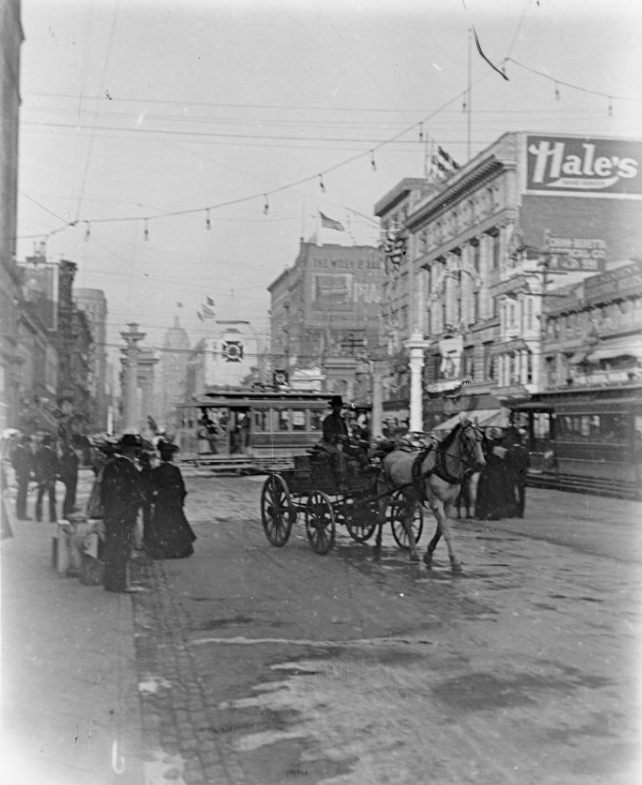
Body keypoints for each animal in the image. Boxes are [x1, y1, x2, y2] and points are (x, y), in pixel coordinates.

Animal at [372, 420, 482, 572]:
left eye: (481, 438)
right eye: (467, 438)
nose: (481, 463)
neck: (442, 466)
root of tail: (390, 453)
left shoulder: (449, 503)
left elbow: (440, 530)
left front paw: (429, 554)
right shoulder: (436, 502)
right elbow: (446, 531)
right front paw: (455, 561)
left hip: (410, 496)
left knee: (406, 520)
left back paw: (413, 553)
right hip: (384, 491)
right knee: (381, 518)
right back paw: (378, 544)